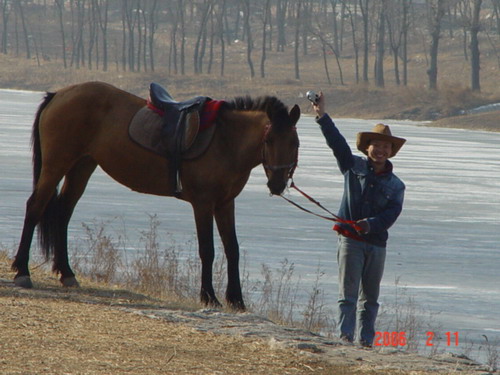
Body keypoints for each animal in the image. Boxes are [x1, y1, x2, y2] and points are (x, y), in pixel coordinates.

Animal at [11, 81, 298, 310]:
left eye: (294, 142)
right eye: (269, 140)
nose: (277, 184)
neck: (225, 140)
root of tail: (59, 94)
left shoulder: (225, 204)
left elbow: (232, 249)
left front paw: (236, 300)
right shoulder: (203, 204)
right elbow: (208, 250)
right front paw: (209, 296)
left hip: (81, 166)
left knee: (63, 213)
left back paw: (66, 273)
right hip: (56, 165)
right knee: (35, 207)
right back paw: (22, 271)